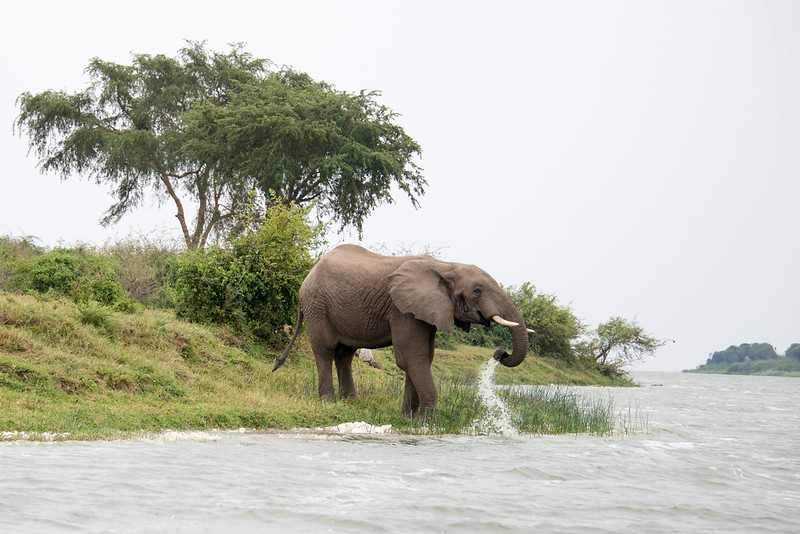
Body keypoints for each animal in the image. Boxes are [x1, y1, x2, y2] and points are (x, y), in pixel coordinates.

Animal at [276, 245, 532, 420]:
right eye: (477, 291)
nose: (500, 353)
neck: (446, 266)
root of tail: (308, 274)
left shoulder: (424, 311)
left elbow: (422, 358)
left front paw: (408, 418)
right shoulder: (403, 310)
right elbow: (411, 357)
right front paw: (425, 421)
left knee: (345, 355)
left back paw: (352, 404)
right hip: (316, 305)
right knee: (325, 350)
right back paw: (328, 403)